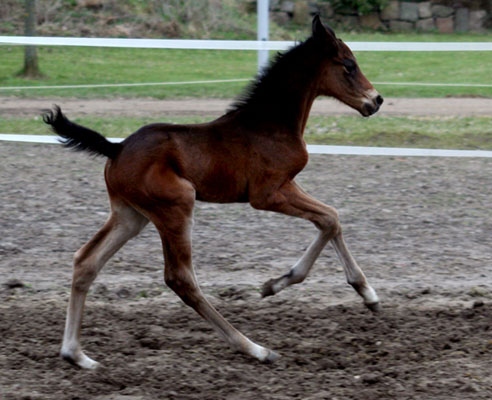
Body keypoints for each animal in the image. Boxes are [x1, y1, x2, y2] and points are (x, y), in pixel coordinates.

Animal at [45, 16, 384, 368]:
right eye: (349, 64)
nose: (375, 100)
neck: (269, 124)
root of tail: (116, 147)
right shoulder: (267, 194)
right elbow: (330, 218)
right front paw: (279, 285)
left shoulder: (289, 184)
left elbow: (330, 219)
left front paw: (364, 295)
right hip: (177, 205)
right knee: (180, 278)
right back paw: (254, 348)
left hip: (130, 215)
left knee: (86, 261)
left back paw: (77, 355)